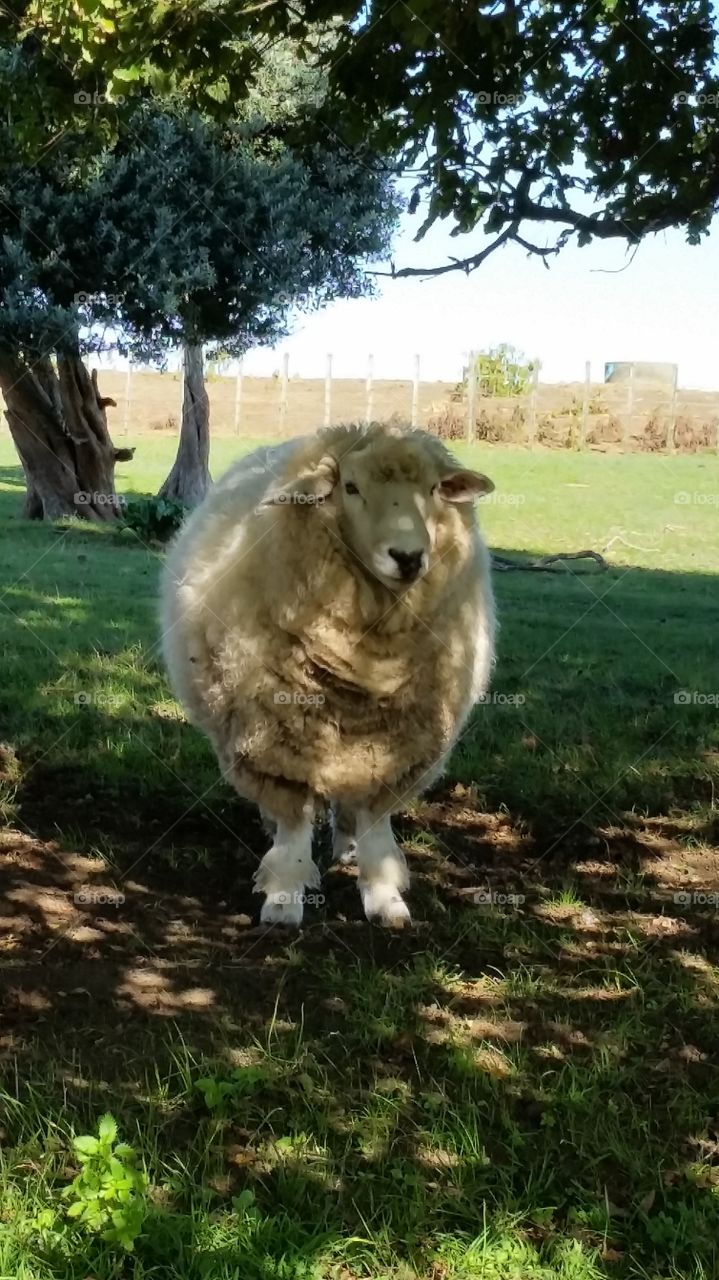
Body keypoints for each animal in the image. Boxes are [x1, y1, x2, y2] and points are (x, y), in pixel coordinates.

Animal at [161, 424, 491, 926]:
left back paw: (347, 846)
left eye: (434, 489)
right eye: (350, 488)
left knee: (349, 805)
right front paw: (284, 898)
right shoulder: (277, 741)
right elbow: (294, 823)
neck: (369, 668)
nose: (408, 557)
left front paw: (384, 898)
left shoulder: (397, 752)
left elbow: (375, 826)